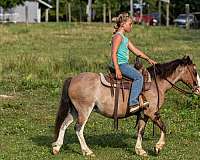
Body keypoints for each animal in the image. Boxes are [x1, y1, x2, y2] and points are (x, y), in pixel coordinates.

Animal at [52, 56, 200, 156]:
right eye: (194, 71)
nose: (198, 89)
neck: (156, 83)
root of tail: (73, 79)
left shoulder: (144, 114)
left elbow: (140, 131)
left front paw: (140, 150)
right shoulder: (152, 112)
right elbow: (163, 127)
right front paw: (158, 147)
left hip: (74, 111)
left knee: (64, 125)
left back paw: (56, 147)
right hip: (84, 110)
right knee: (78, 128)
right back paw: (87, 151)